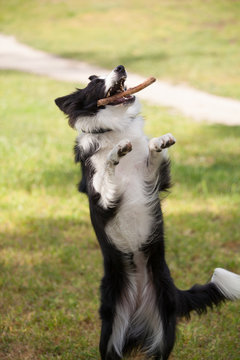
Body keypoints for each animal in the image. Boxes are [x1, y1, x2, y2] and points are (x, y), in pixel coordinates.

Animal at [54, 65, 240, 360]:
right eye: (94, 82)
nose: (120, 67)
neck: (114, 128)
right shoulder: (103, 198)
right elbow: (107, 172)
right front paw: (115, 154)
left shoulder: (154, 180)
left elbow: (152, 156)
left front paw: (159, 142)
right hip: (110, 332)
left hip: (164, 328)